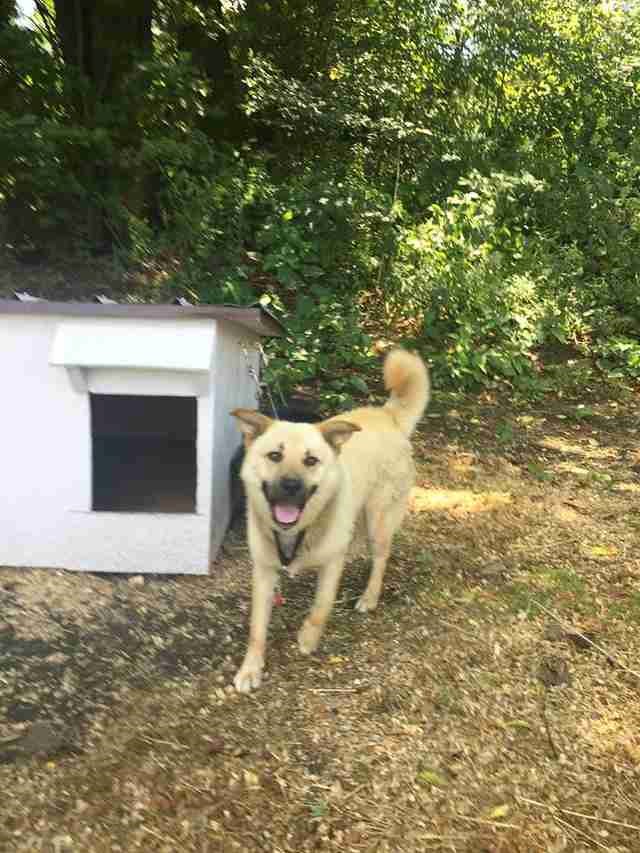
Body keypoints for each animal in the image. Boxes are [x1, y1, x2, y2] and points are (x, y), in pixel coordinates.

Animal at [230, 350, 430, 688]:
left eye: (311, 460)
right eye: (274, 456)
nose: (291, 485)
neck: (298, 531)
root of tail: (387, 415)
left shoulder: (329, 565)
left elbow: (321, 607)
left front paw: (308, 638)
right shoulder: (264, 572)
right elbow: (257, 627)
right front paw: (251, 668)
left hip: (378, 520)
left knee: (380, 558)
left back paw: (369, 596)